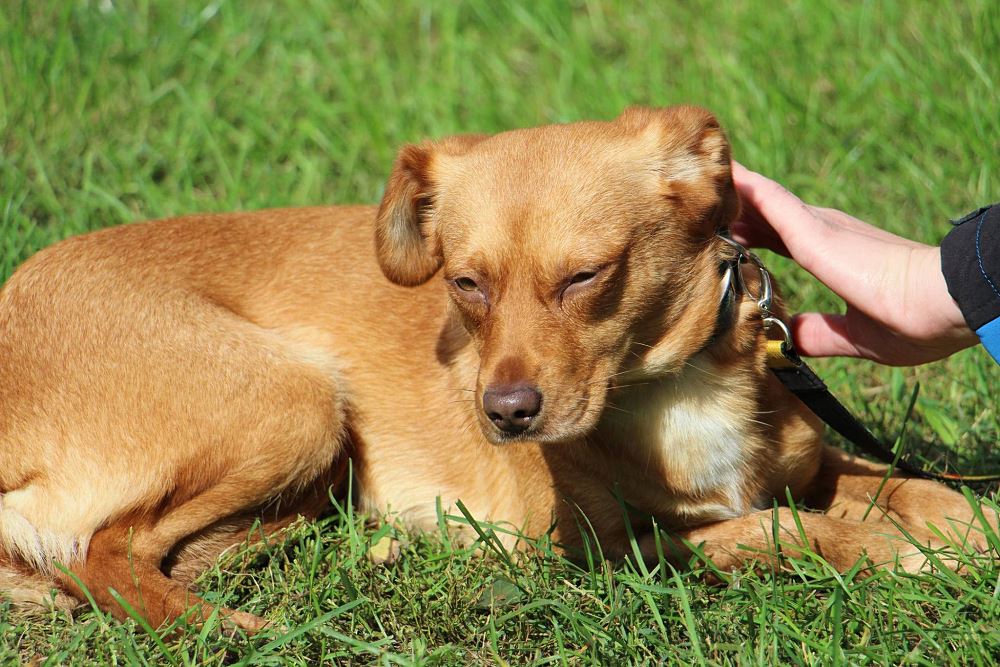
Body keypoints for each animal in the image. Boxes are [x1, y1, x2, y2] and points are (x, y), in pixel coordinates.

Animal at [0, 106, 991, 630]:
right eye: (465, 283)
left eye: (586, 276)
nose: (506, 412)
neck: (672, 392)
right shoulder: (593, 552)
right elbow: (785, 530)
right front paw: (898, 552)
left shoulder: (815, 462)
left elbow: (905, 485)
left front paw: (961, 520)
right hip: (297, 400)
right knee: (106, 552)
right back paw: (230, 628)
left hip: (311, 459)